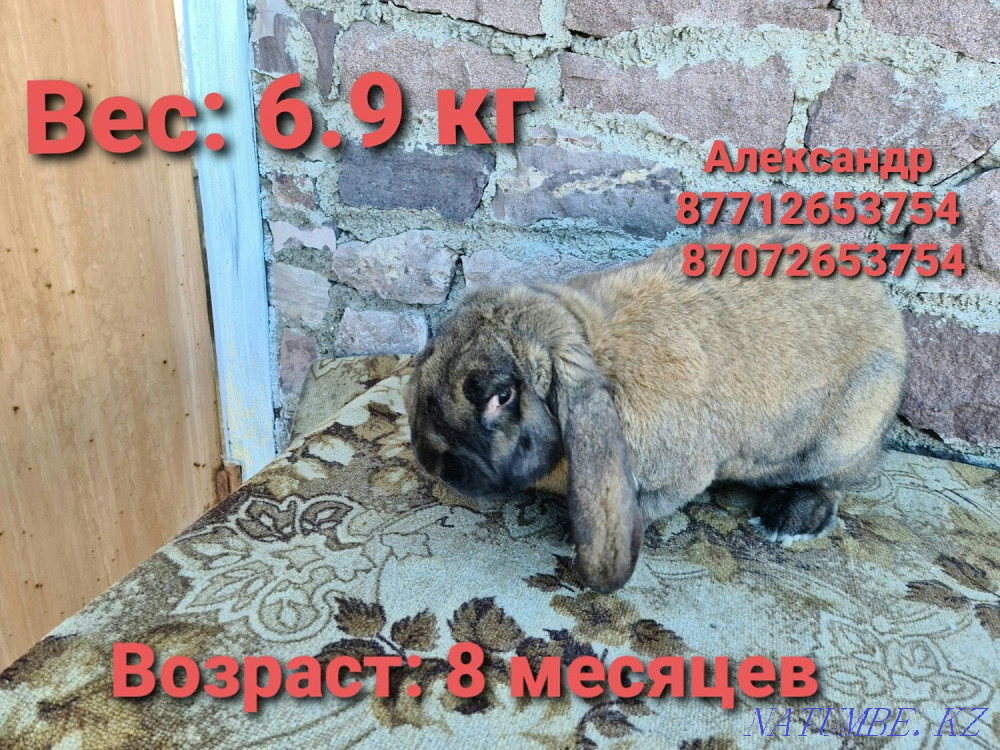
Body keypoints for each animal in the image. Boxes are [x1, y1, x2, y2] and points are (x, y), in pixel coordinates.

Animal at [403, 231, 907, 593]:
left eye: (502, 396)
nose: (431, 461)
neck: (596, 349)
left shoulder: (681, 475)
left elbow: (649, 505)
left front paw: (572, 533)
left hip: (847, 433)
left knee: (836, 481)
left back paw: (791, 517)